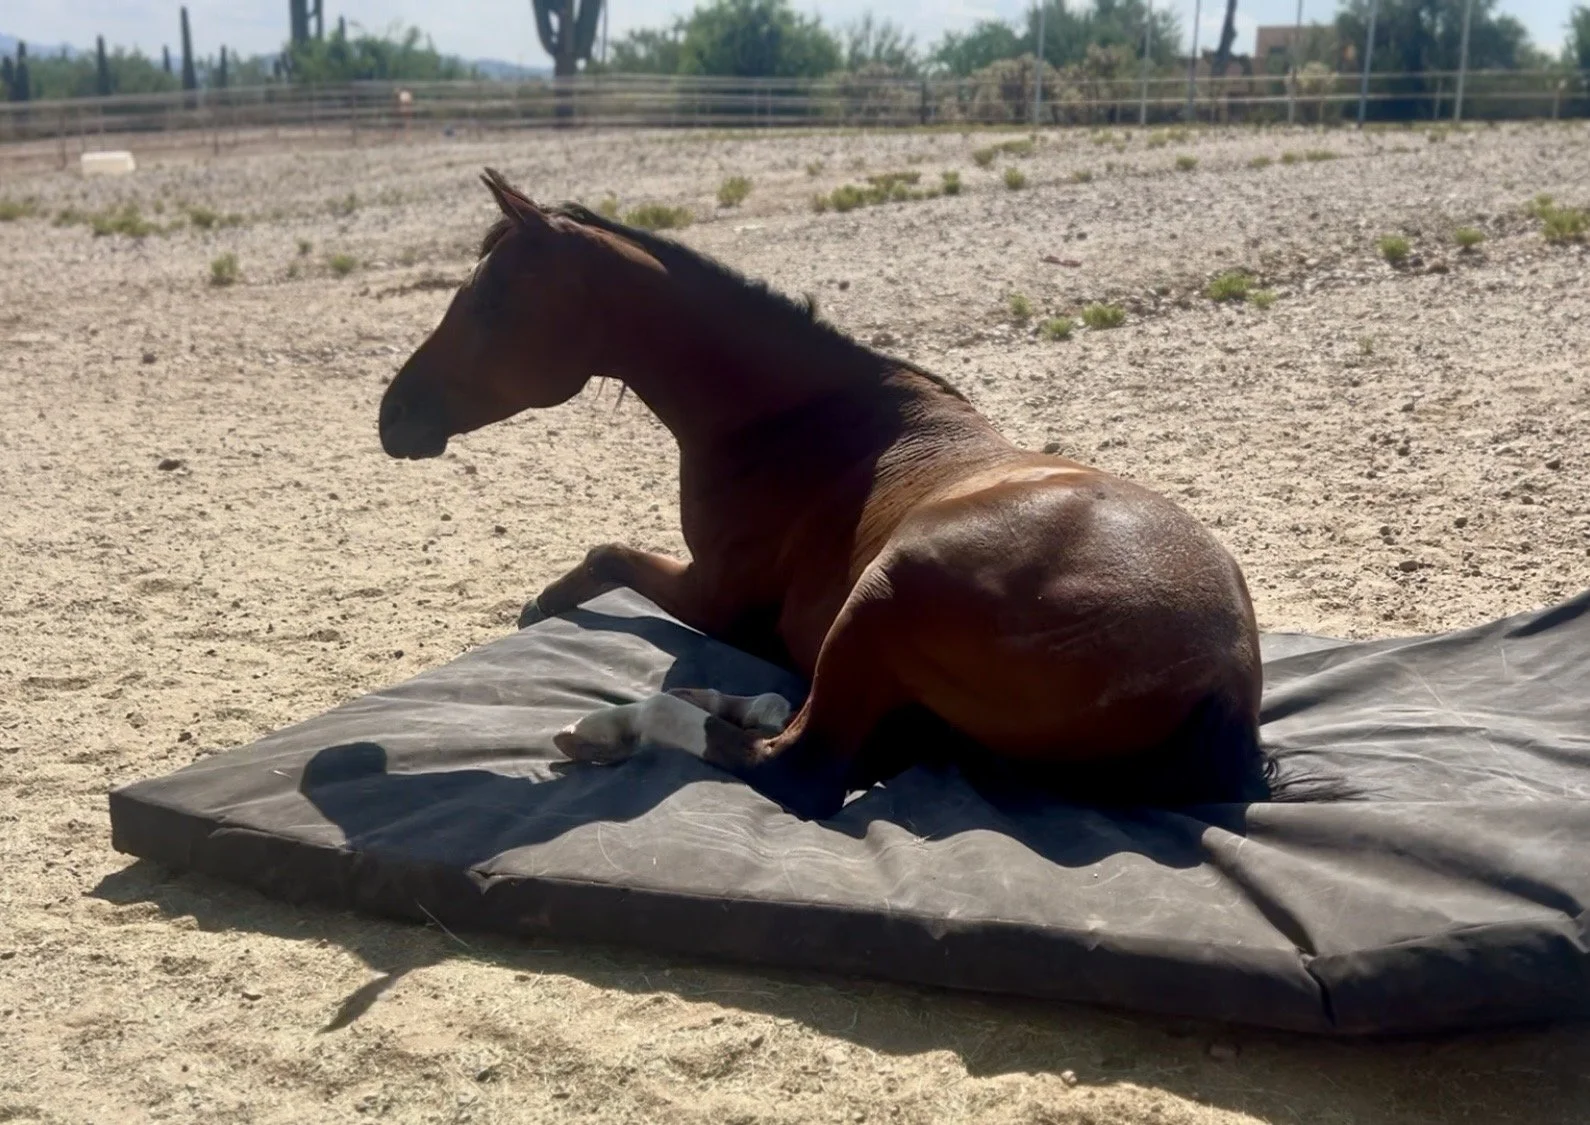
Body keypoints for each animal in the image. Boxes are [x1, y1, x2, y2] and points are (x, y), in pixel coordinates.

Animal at [378, 168, 1311, 822]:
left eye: (494, 299)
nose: (393, 416)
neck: (805, 421)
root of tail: (1223, 681)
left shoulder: (715, 593)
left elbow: (608, 553)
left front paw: (543, 605)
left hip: (883, 596)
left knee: (800, 766)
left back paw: (619, 724)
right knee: (798, 724)